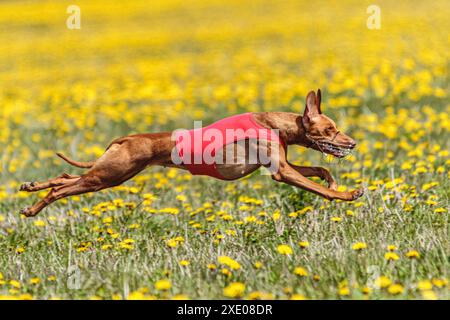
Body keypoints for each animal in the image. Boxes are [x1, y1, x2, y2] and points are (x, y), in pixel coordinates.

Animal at [21, 89, 364, 216]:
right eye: (331, 129)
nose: (352, 143)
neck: (273, 123)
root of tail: (127, 137)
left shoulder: (283, 164)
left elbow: (321, 171)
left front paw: (333, 180)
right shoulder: (282, 172)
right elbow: (320, 188)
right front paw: (347, 194)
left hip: (110, 174)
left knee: (65, 176)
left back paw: (31, 186)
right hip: (108, 176)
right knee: (63, 188)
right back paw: (34, 208)